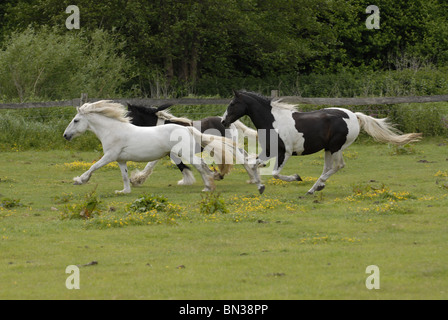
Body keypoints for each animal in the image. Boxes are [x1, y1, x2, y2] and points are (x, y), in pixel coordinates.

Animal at [64, 101, 236, 194]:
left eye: (76, 120)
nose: (65, 135)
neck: (113, 130)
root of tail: (187, 128)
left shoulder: (109, 156)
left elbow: (93, 166)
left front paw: (80, 180)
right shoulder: (120, 160)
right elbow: (124, 176)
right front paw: (125, 190)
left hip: (185, 153)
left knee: (200, 166)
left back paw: (208, 187)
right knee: (204, 166)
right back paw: (214, 178)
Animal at [126, 104, 260, 186]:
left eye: (129, 116)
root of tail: (226, 121)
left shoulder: (172, 153)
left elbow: (181, 166)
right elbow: (150, 165)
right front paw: (137, 180)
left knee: (242, 159)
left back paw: (253, 178)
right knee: (246, 156)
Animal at [222, 90, 422, 195]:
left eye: (232, 104)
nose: (223, 121)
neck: (273, 121)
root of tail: (354, 115)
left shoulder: (284, 153)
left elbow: (276, 174)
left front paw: (296, 177)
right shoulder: (269, 151)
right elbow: (253, 164)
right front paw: (260, 186)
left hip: (335, 147)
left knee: (337, 166)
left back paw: (315, 187)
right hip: (328, 149)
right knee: (329, 168)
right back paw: (315, 187)